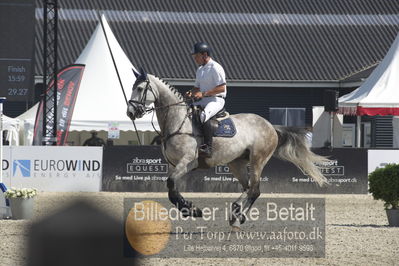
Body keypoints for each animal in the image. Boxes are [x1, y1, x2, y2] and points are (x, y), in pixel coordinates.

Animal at [128, 69, 332, 230]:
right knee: (248, 188)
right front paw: (190, 209)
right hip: (236, 163)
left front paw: (193, 210)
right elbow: (171, 190)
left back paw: (237, 217)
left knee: (255, 190)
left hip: (258, 160)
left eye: (140, 89)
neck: (178, 121)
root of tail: (270, 125)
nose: (130, 113)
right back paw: (236, 213)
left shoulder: (187, 162)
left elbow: (171, 184)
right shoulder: (173, 165)